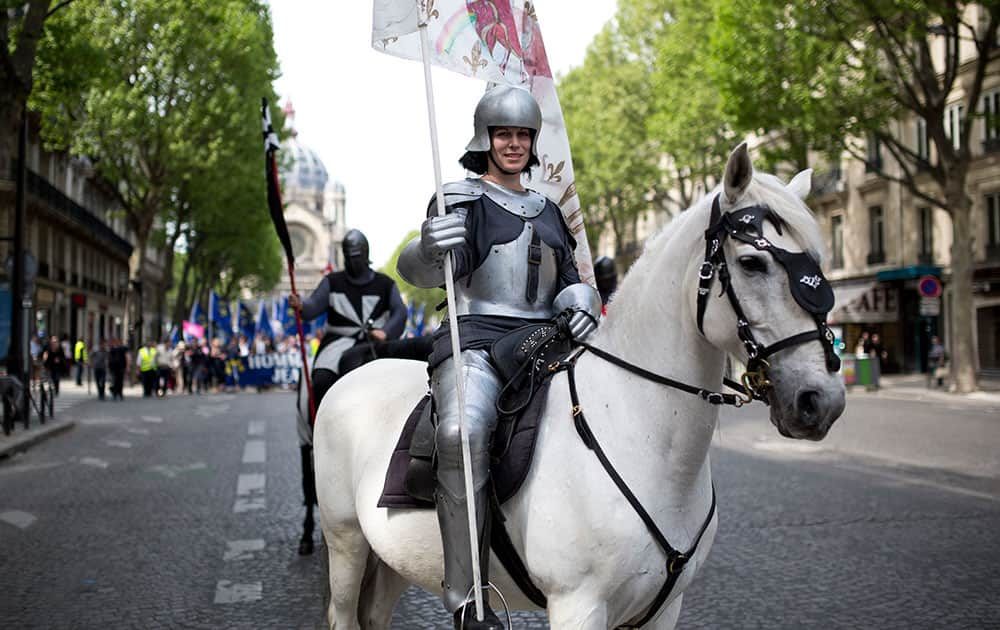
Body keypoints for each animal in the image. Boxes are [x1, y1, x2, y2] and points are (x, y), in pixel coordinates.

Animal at [316, 146, 848, 628]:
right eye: (753, 263)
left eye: (818, 260)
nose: (820, 400)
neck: (639, 429)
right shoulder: (578, 604)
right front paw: (436, 239)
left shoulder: (662, 609)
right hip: (346, 540)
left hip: (391, 557)